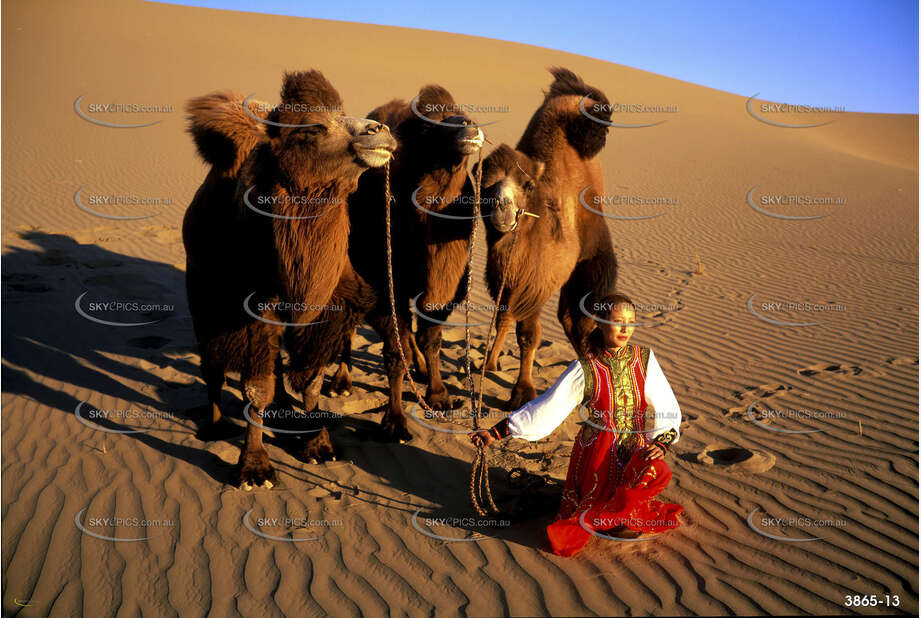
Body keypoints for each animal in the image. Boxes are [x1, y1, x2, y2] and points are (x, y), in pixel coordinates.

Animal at [181, 70, 394, 486]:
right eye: (311, 129)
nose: (380, 131)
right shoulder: (249, 313)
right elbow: (255, 388)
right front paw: (254, 467)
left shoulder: (324, 308)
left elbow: (310, 379)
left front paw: (317, 444)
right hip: (203, 297)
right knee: (212, 364)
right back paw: (215, 425)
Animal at [474, 68, 620, 410]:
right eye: (484, 184)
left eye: (527, 185)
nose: (502, 209)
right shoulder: (514, 281)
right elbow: (509, 320)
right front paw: (495, 367)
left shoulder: (548, 278)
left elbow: (536, 332)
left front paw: (522, 392)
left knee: (572, 319)